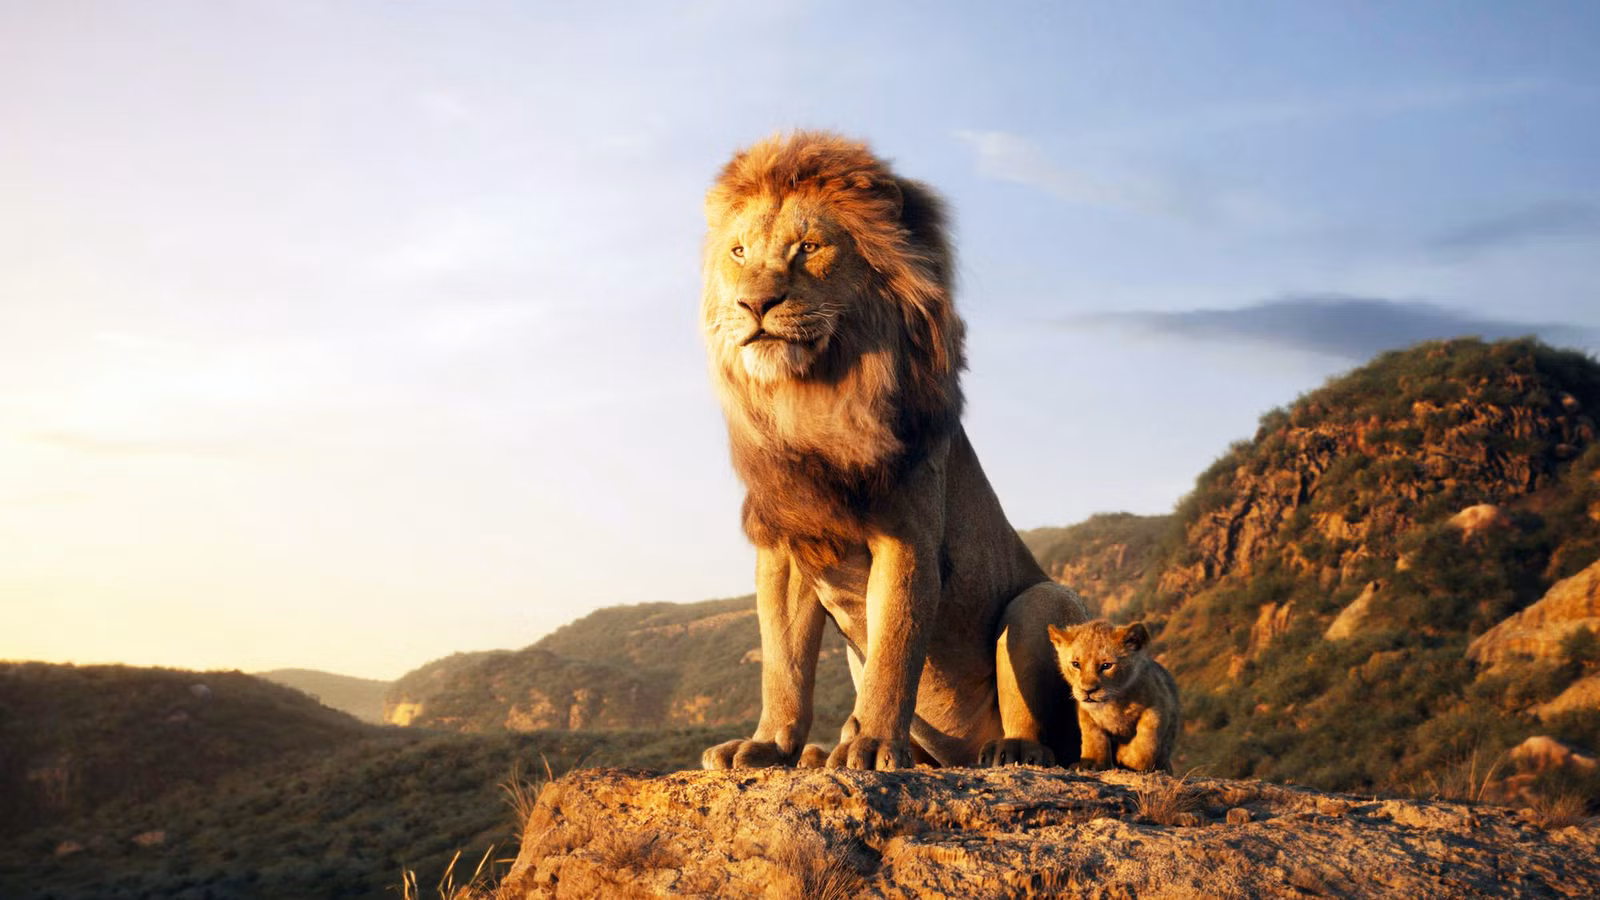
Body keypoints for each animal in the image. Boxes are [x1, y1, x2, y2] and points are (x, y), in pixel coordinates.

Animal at [697, 131, 1089, 771]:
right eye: (738, 252)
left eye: (808, 247)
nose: (754, 305)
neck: (813, 400)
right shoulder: (786, 544)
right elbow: (783, 663)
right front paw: (768, 745)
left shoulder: (907, 538)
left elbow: (894, 650)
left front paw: (874, 745)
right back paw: (821, 753)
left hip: (1042, 601)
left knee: (1046, 731)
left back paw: (1010, 750)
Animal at [1047, 619, 1180, 773]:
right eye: (1076, 664)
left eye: (1106, 665)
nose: (1088, 691)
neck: (1113, 702)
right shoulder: (1086, 713)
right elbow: (1093, 737)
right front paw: (1092, 764)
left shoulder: (1158, 705)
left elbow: (1147, 739)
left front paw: (1128, 758)